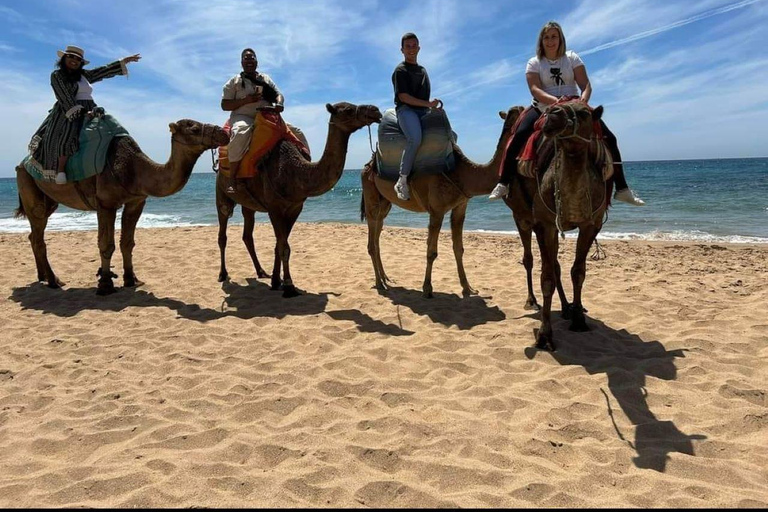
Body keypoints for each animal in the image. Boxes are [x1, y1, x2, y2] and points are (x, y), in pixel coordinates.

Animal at [15, 119, 228, 294]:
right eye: (194, 127)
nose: (222, 132)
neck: (136, 170)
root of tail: (22, 163)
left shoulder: (136, 202)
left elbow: (127, 242)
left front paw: (131, 279)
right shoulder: (105, 203)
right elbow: (106, 244)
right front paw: (105, 284)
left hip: (48, 199)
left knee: (33, 235)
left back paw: (42, 276)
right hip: (29, 186)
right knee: (39, 235)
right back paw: (54, 280)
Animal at [214, 101, 382, 298]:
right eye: (348, 109)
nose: (375, 110)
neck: (295, 171)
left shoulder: (295, 208)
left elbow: (280, 245)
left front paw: (276, 281)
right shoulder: (274, 208)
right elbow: (284, 247)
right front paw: (288, 286)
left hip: (249, 205)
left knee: (247, 234)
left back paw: (261, 272)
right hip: (221, 193)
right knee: (223, 232)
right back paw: (223, 274)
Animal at [360, 106, 520, 298]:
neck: (464, 174)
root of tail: (368, 165)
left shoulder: (460, 206)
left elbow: (459, 249)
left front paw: (468, 288)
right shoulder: (436, 210)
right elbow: (431, 252)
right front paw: (427, 289)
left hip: (385, 202)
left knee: (377, 234)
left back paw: (385, 278)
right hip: (370, 195)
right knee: (371, 240)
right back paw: (379, 283)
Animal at [524, 103, 608, 352]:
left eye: (584, 112)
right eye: (553, 109)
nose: (553, 115)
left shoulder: (591, 225)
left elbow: (578, 272)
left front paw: (579, 319)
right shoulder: (544, 225)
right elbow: (547, 277)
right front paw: (544, 335)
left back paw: (567, 309)